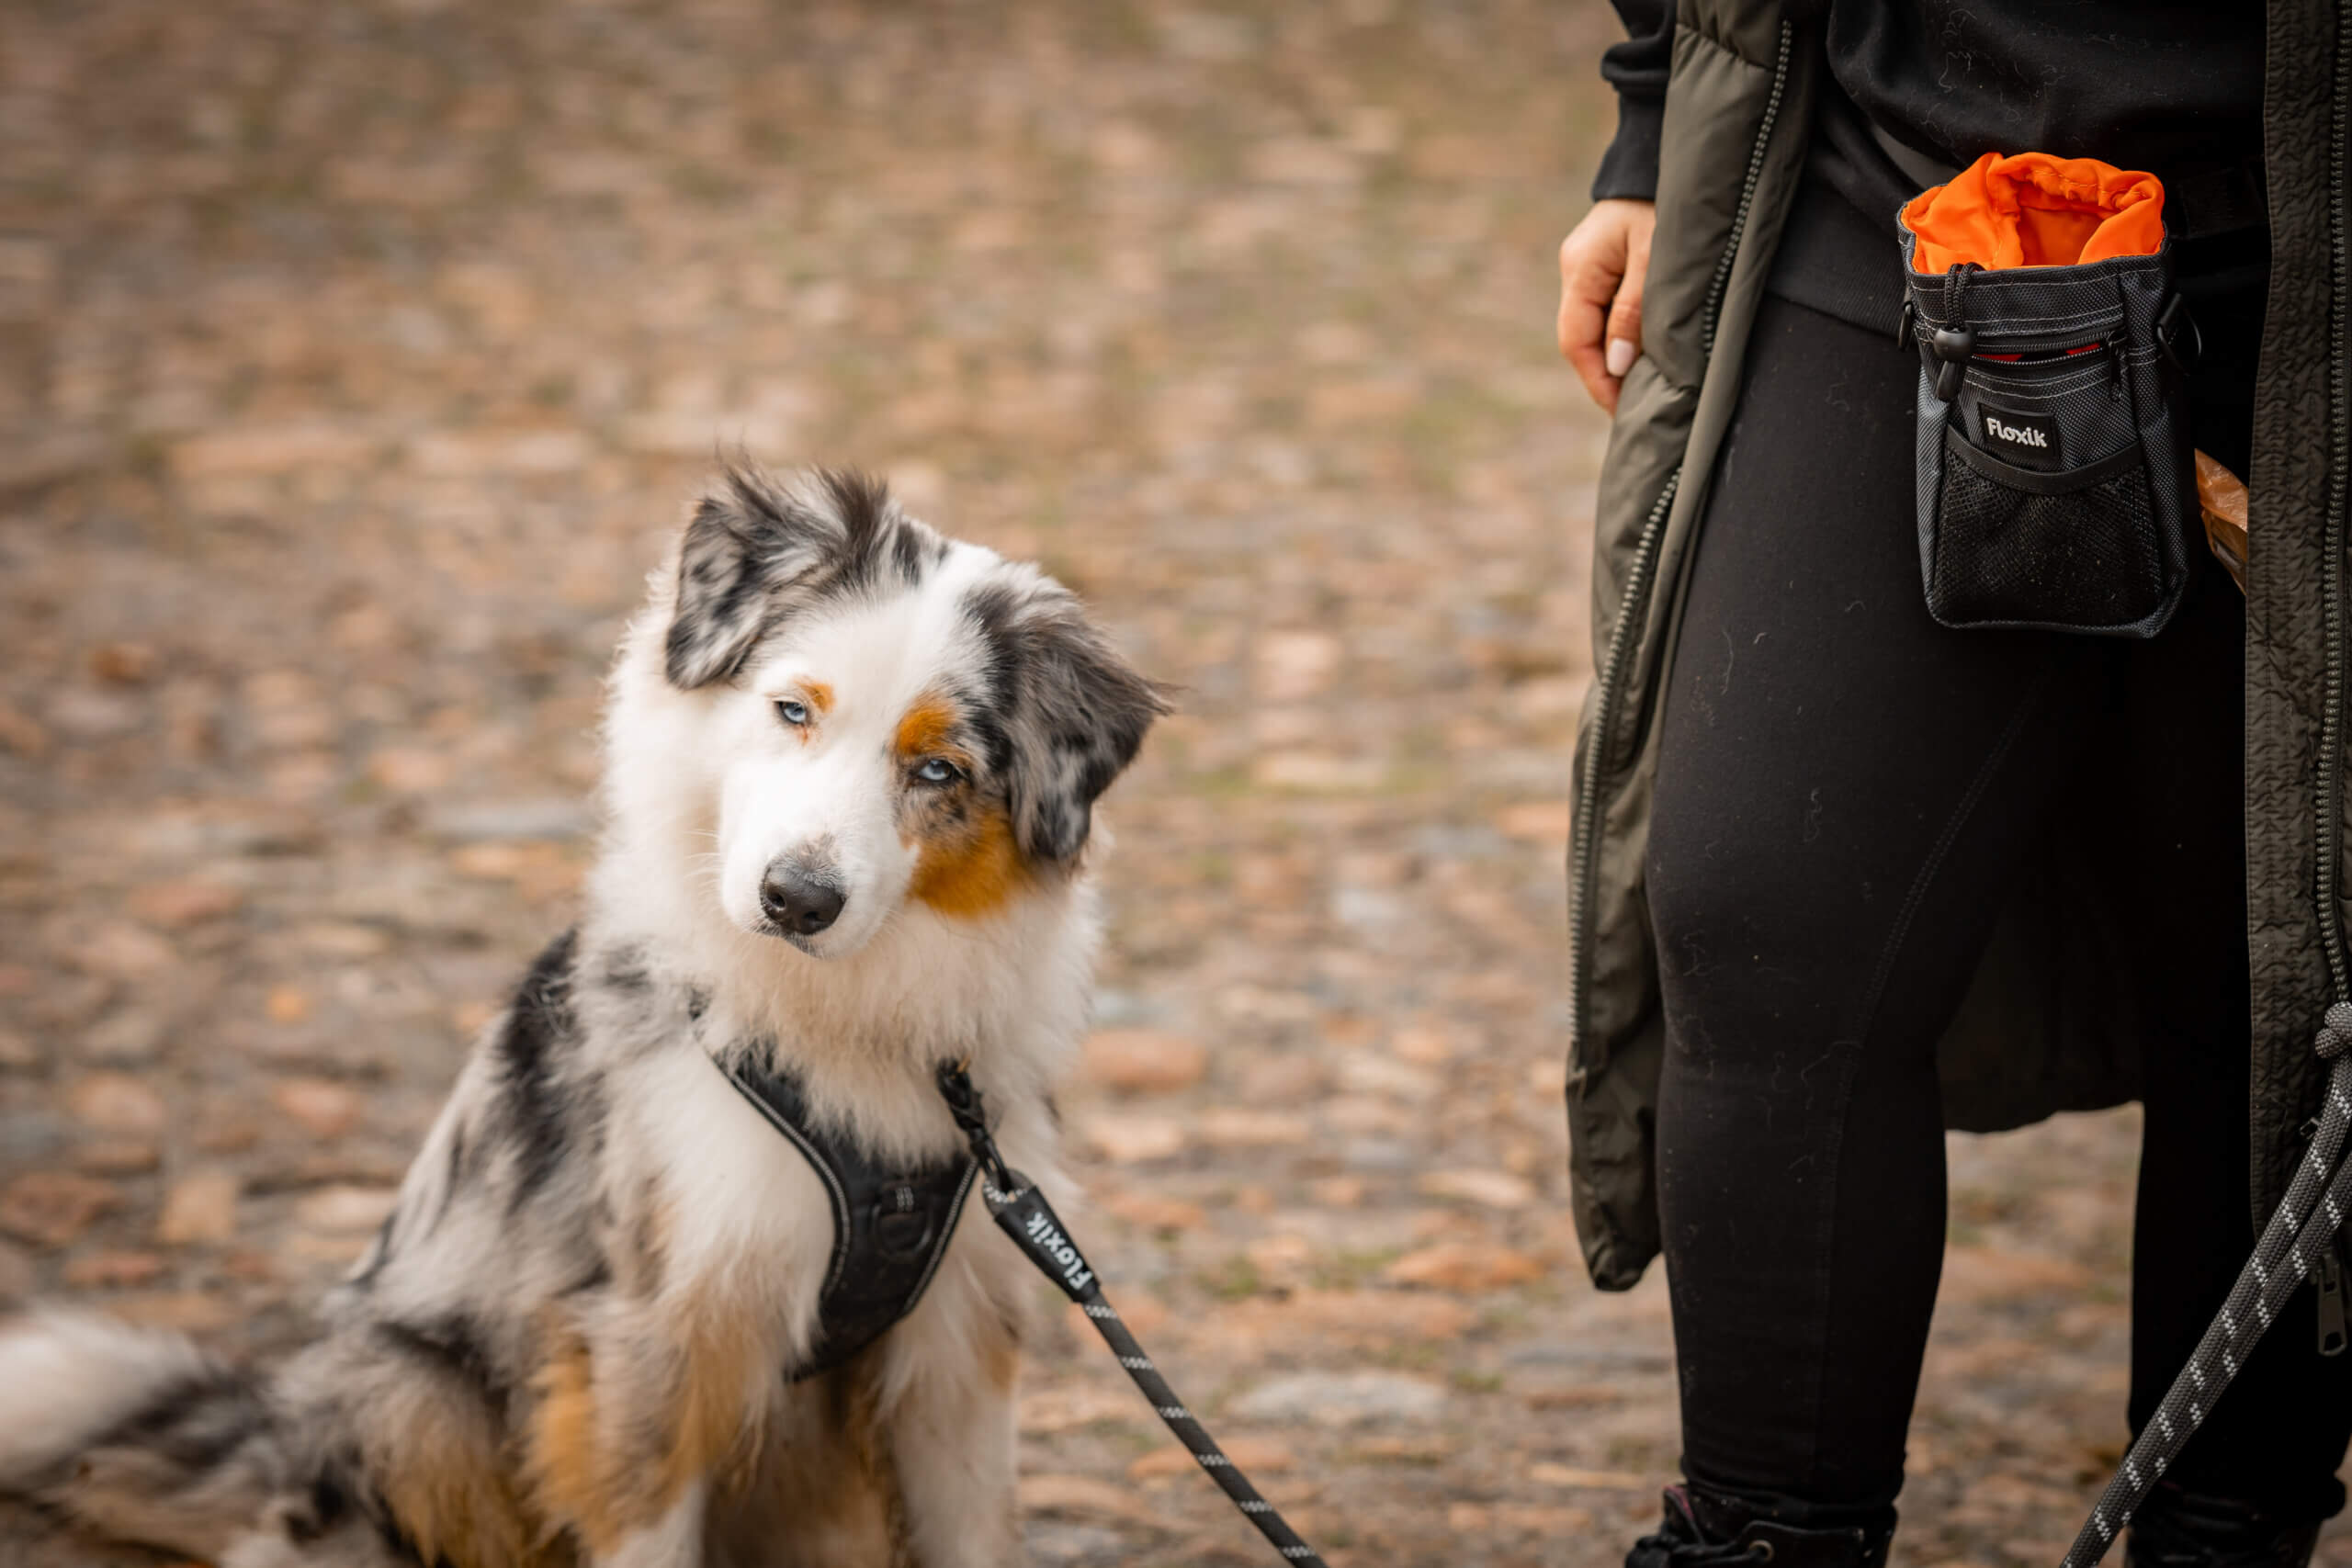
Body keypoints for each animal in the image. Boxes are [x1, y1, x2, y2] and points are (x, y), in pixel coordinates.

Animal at [0, 469, 1170, 1568]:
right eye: (794, 710)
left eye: (937, 769)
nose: (796, 900)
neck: (838, 1023)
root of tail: (283, 1434)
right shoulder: (648, 1335)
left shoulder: (956, 1339)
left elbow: (974, 1530)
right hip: (418, 1395)